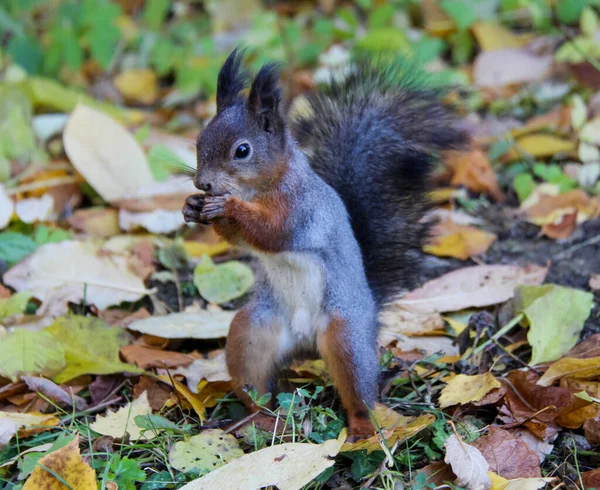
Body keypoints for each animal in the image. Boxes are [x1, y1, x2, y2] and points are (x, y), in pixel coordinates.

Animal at [183, 47, 468, 436]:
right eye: (199, 141)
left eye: (242, 150)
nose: (203, 184)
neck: (257, 189)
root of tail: (306, 344)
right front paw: (192, 206)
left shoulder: (300, 210)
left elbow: (272, 232)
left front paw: (228, 206)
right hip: (253, 331)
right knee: (254, 381)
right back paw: (258, 417)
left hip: (345, 335)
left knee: (359, 389)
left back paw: (362, 429)